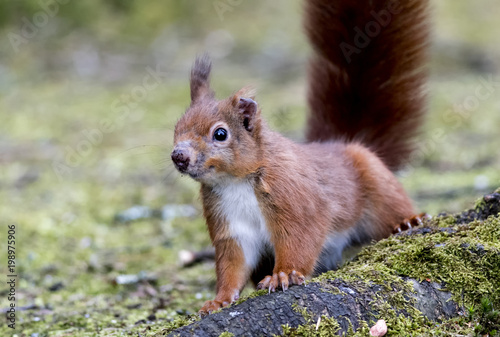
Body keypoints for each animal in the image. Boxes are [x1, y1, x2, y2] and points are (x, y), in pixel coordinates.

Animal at [171, 0, 430, 312]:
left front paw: (283, 275)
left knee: (391, 204)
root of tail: (339, 143)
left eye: (220, 134)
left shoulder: (296, 200)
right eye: (176, 128)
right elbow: (232, 265)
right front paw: (219, 300)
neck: (236, 182)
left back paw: (407, 221)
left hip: (376, 182)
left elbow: (300, 239)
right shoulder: (230, 224)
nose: (178, 156)